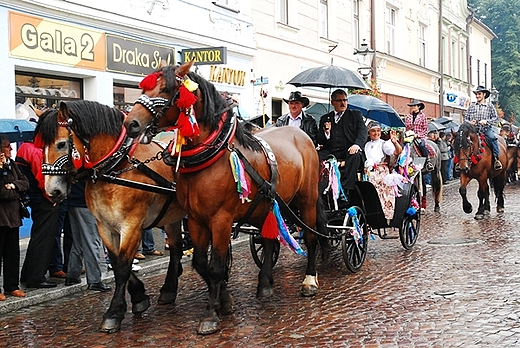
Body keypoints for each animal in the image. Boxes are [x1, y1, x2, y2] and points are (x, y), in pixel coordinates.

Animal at [39, 100, 188, 332]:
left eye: (62, 144)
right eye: (40, 147)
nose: (51, 191)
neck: (116, 168)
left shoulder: (132, 226)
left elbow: (124, 266)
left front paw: (114, 313)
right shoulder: (105, 226)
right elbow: (117, 262)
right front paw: (138, 297)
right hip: (171, 217)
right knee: (175, 248)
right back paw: (169, 289)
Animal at [123, 61, 324, 336]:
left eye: (166, 89)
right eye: (143, 87)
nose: (130, 123)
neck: (211, 156)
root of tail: (301, 135)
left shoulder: (221, 219)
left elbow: (216, 266)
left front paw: (210, 314)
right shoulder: (196, 219)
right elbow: (200, 262)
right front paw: (224, 301)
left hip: (307, 200)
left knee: (312, 238)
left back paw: (309, 280)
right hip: (266, 205)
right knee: (268, 240)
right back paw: (265, 284)